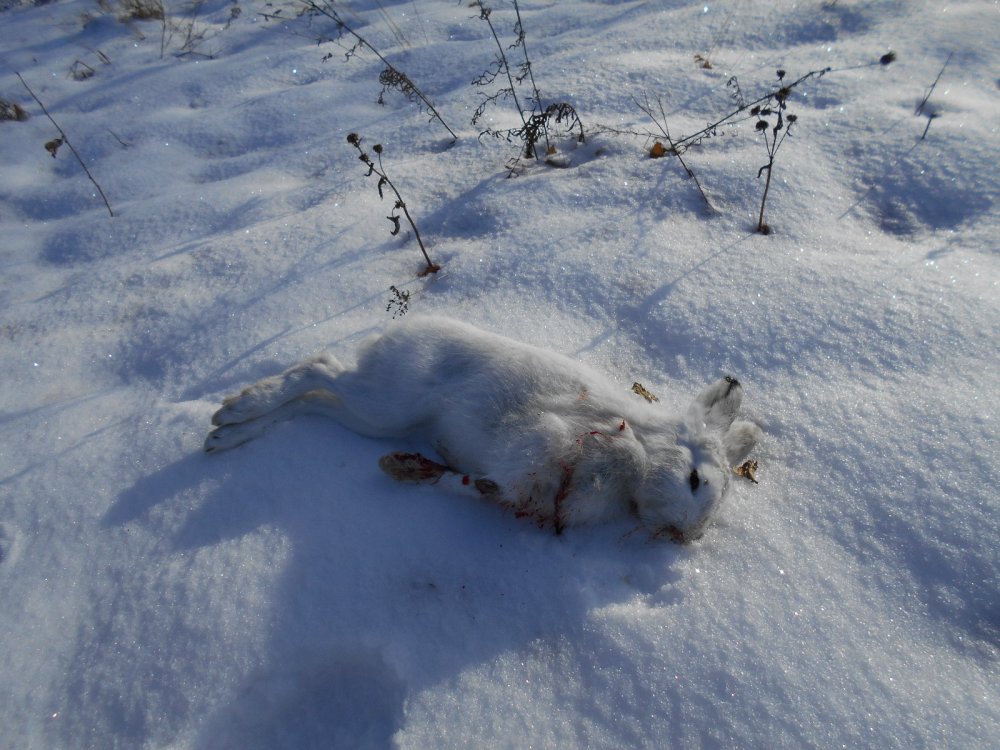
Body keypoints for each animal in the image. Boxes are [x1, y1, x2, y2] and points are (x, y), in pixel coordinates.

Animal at [205, 317, 762, 542]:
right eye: (695, 480)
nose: (687, 536)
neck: (640, 453)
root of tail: (399, 332)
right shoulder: (551, 438)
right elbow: (531, 458)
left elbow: (473, 487)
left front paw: (423, 473)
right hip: (385, 401)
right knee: (318, 371)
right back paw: (232, 412)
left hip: (368, 419)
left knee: (315, 403)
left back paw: (225, 435)